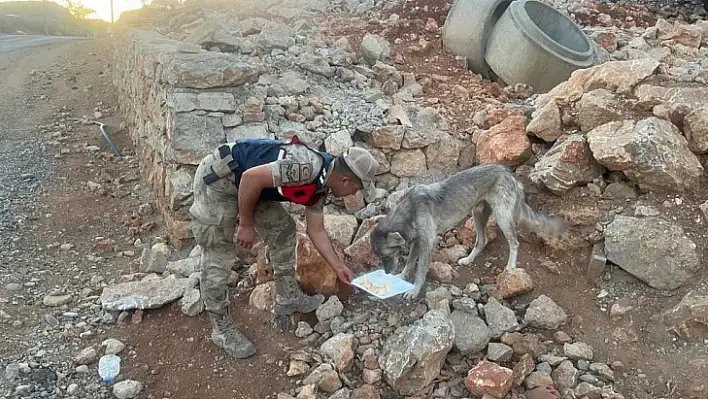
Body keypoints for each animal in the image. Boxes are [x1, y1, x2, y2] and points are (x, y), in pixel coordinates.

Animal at [370, 163, 564, 300]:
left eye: (386, 256)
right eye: (380, 257)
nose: (386, 273)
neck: (409, 210)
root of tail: (509, 173)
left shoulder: (427, 243)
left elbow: (420, 271)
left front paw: (414, 290)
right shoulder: (418, 241)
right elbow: (410, 262)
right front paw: (402, 276)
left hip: (502, 216)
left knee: (514, 242)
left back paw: (510, 267)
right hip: (478, 214)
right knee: (481, 241)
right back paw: (468, 259)